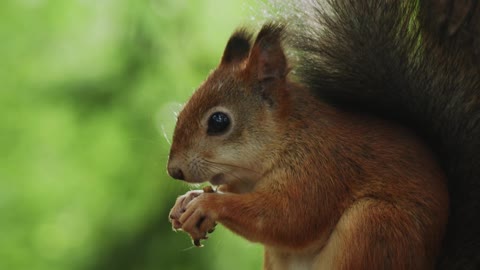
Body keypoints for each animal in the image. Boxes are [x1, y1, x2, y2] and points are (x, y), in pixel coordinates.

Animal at [167, 0, 478, 270]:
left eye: (219, 121)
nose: (174, 171)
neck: (288, 137)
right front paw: (188, 200)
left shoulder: (320, 170)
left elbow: (288, 218)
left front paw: (207, 203)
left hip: (375, 225)